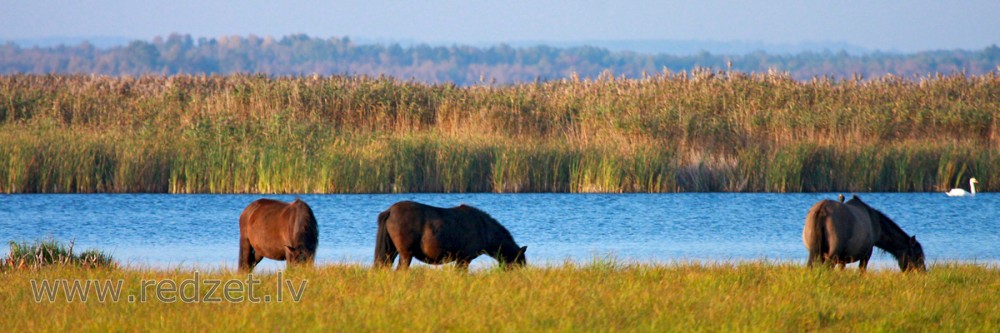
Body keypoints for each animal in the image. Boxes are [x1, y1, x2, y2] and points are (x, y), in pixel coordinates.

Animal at [376, 200, 532, 270]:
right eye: (519, 263)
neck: (484, 229)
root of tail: (390, 211)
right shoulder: (464, 259)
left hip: (391, 251)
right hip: (405, 254)